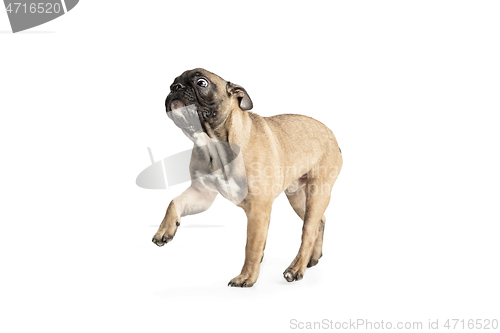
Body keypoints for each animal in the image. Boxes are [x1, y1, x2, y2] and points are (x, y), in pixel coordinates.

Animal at [150, 67, 342, 286]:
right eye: (172, 83)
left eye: (201, 82)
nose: (176, 88)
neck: (213, 143)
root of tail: (332, 136)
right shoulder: (201, 193)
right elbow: (174, 201)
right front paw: (165, 230)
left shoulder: (258, 210)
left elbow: (251, 247)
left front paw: (246, 277)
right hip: (298, 197)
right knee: (320, 221)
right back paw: (313, 258)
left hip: (317, 193)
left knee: (308, 231)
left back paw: (295, 269)